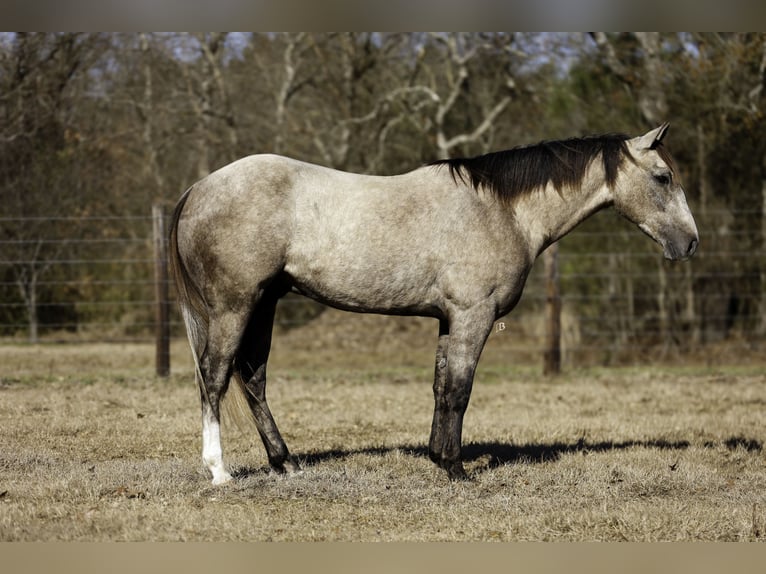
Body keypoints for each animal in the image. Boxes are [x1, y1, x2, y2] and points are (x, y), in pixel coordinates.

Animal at [171, 125, 700, 486]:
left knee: (253, 379)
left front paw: (436, 456)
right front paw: (456, 468)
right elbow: (460, 390)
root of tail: (198, 188)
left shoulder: (448, 320)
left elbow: (441, 387)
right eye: (662, 177)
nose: (690, 243)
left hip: (263, 305)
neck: (502, 211)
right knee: (215, 378)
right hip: (234, 307)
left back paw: (285, 462)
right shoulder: (472, 316)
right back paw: (220, 471)